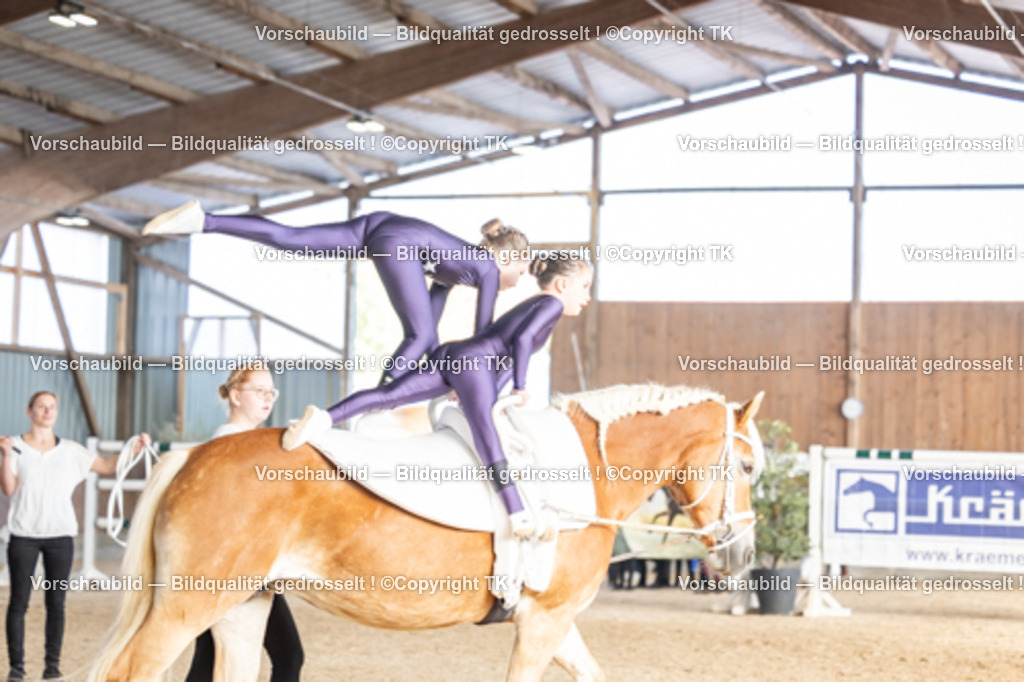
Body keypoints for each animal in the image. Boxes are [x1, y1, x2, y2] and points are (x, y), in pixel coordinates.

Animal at [87, 384, 764, 682]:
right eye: (750, 466)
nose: (745, 554)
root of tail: (195, 454)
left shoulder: (556, 621)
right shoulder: (543, 623)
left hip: (241, 607)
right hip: (188, 606)